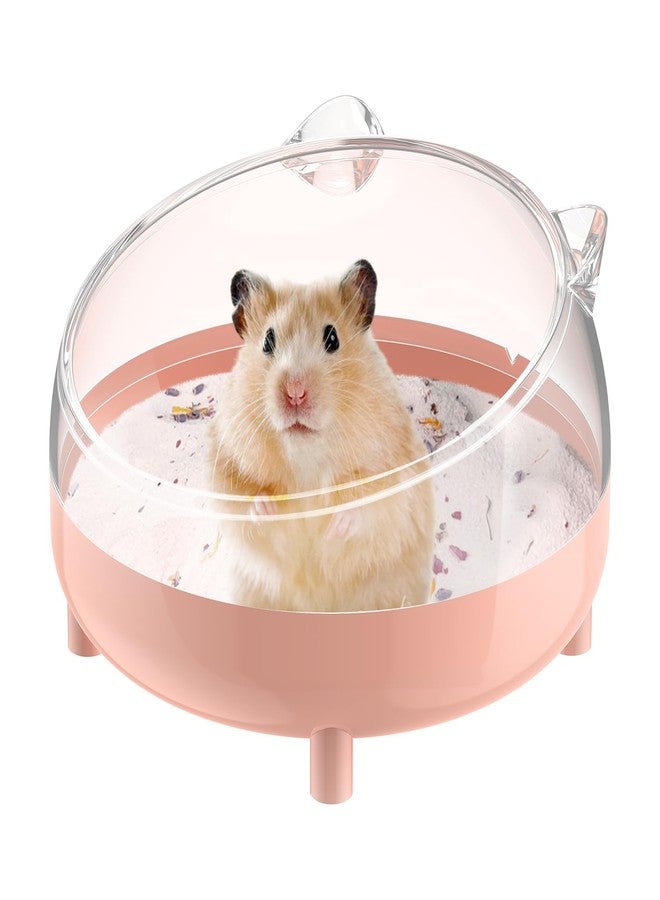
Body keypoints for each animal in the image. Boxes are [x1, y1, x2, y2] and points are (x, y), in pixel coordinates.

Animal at [209, 259, 435, 612]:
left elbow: (372, 505)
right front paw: (267, 509)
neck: (306, 454)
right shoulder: (226, 465)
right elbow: (241, 503)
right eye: (267, 341)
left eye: (332, 338)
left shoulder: (395, 473)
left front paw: (335, 525)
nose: (295, 393)